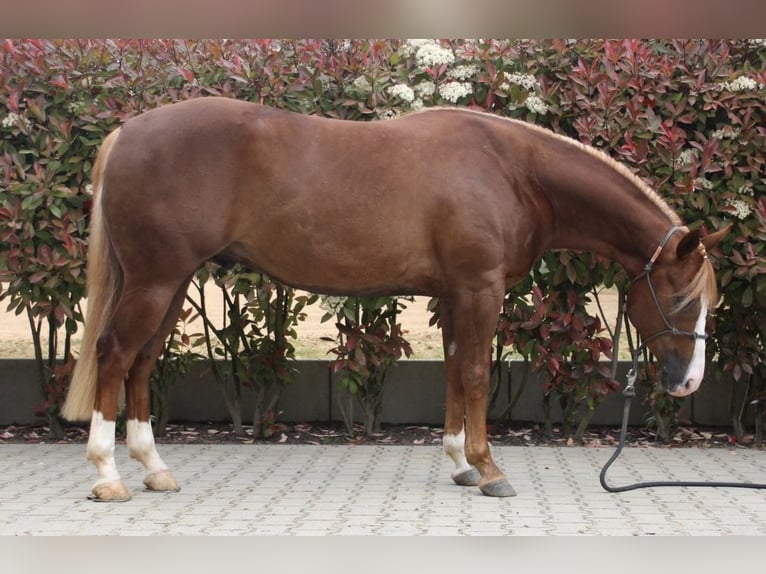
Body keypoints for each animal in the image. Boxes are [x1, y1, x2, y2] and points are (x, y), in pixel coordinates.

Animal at [61, 97, 729, 501]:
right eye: (682, 296)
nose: (691, 382)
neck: (513, 170)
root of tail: (126, 132)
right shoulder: (480, 288)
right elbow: (478, 375)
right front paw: (490, 470)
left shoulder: (457, 295)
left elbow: (457, 374)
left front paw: (461, 463)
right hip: (154, 280)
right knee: (115, 354)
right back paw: (108, 475)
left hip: (171, 283)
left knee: (142, 362)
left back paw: (154, 469)